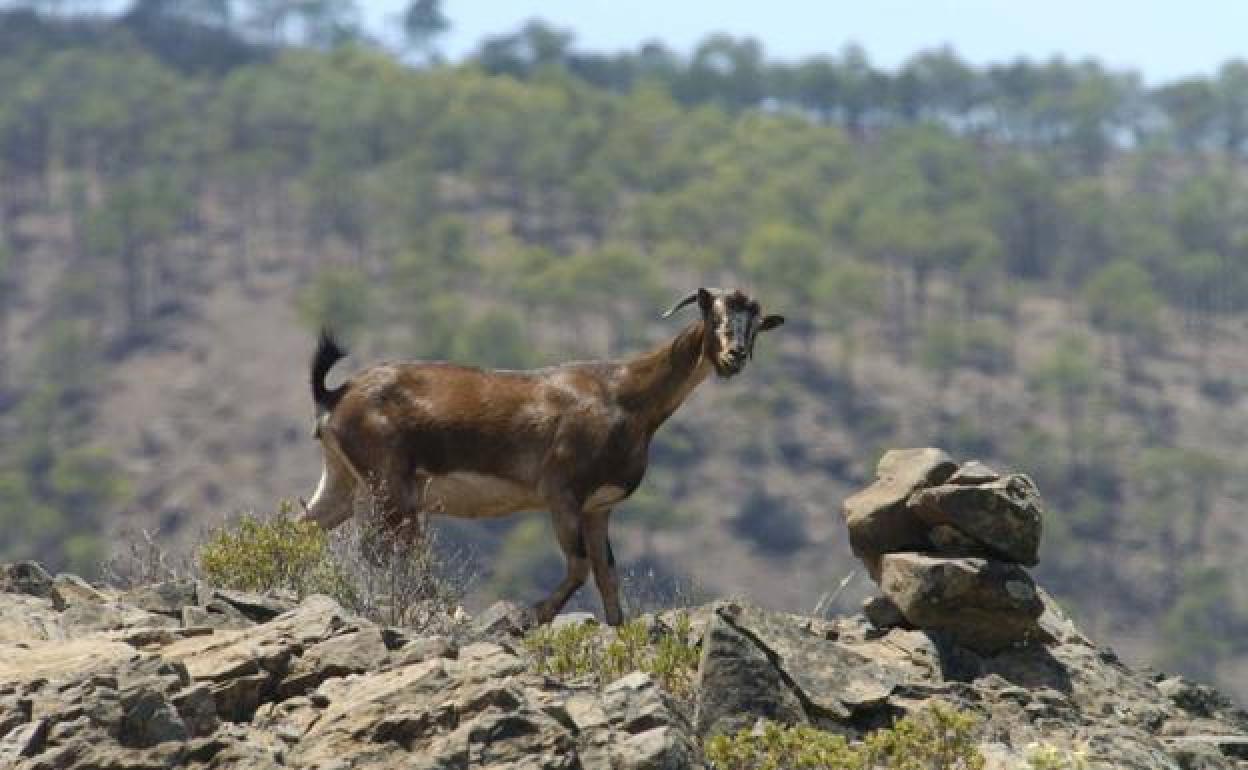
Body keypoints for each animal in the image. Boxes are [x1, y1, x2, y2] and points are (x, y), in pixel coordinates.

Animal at [301, 287, 784, 625]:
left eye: (755, 324)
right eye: (713, 314)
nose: (735, 355)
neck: (625, 395)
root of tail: (336, 395)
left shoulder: (598, 507)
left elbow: (607, 576)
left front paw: (618, 630)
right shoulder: (562, 493)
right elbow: (579, 567)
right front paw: (532, 615)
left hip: (345, 482)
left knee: (307, 528)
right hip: (391, 486)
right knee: (386, 552)